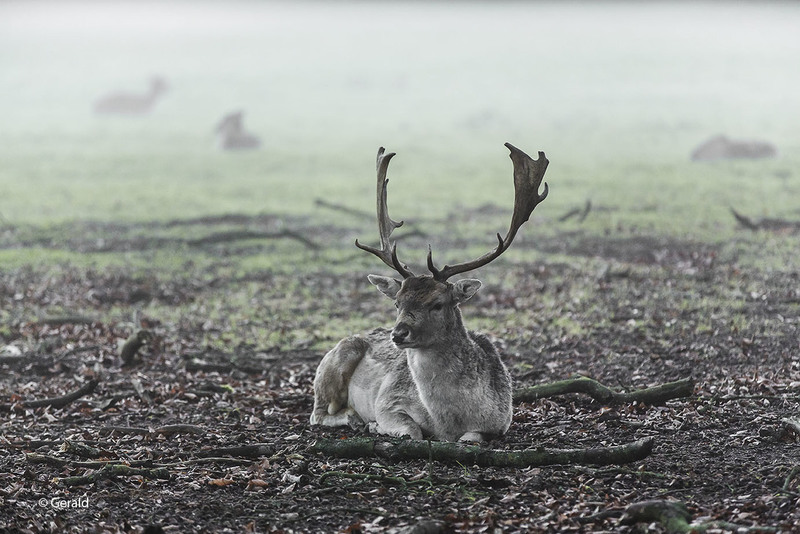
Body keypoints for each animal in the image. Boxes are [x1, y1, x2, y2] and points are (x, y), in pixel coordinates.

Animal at [311, 143, 549, 442]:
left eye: (437, 304)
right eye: (397, 303)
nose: (398, 334)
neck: (447, 424)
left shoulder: (501, 421)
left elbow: (473, 438)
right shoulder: (387, 401)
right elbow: (412, 432)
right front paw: (376, 425)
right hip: (331, 366)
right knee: (318, 414)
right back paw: (355, 419)